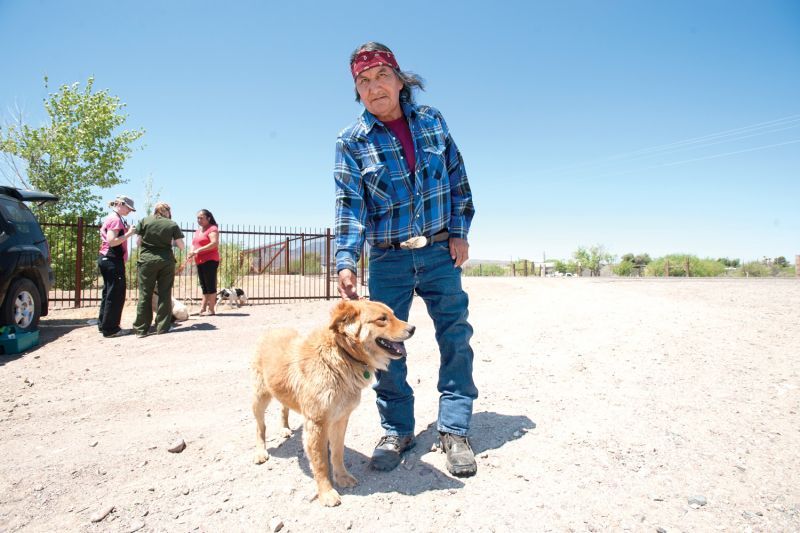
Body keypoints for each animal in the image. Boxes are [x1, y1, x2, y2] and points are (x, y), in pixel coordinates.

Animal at [248, 298, 412, 504]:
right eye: (382, 319)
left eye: (393, 314)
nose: (413, 328)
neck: (341, 355)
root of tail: (271, 331)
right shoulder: (316, 423)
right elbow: (320, 463)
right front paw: (326, 493)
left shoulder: (340, 419)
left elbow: (337, 453)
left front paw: (342, 477)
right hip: (260, 397)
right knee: (259, 426)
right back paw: (260, 452)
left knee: (284, 408)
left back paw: (285, 428)